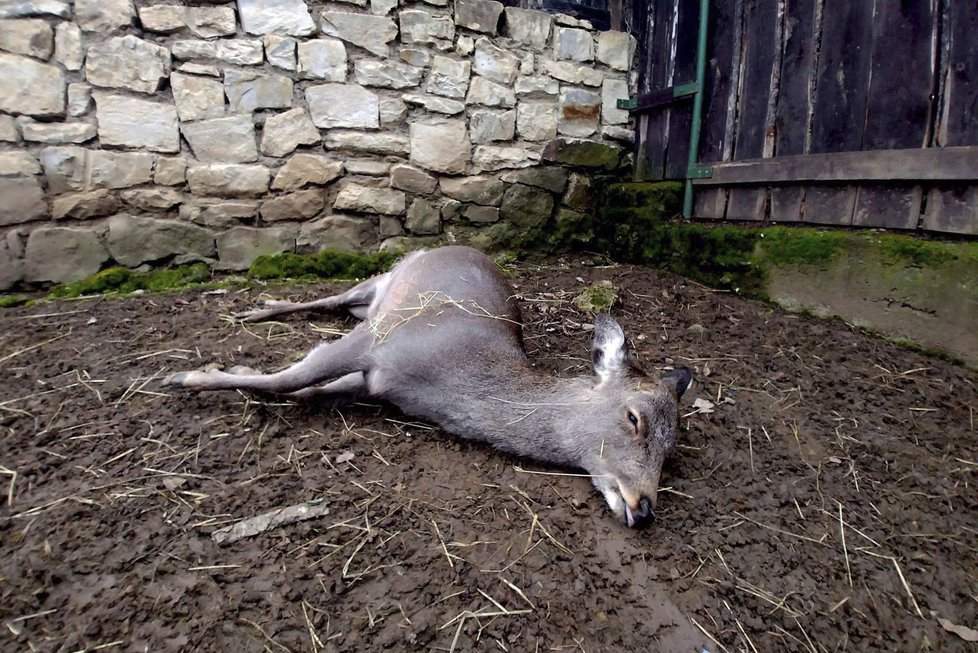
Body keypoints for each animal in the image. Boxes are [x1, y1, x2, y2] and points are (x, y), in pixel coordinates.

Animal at [164, 247, 692, 528]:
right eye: (633, 417)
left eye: (672, 449)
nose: (645, 507)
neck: (438, 380)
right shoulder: (378, 341)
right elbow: (293, 375)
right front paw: (190, 375)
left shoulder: (373, 383)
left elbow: (308, 389)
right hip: (382, 283)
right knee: (331, 296)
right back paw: (260, 307)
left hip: (371, 304)